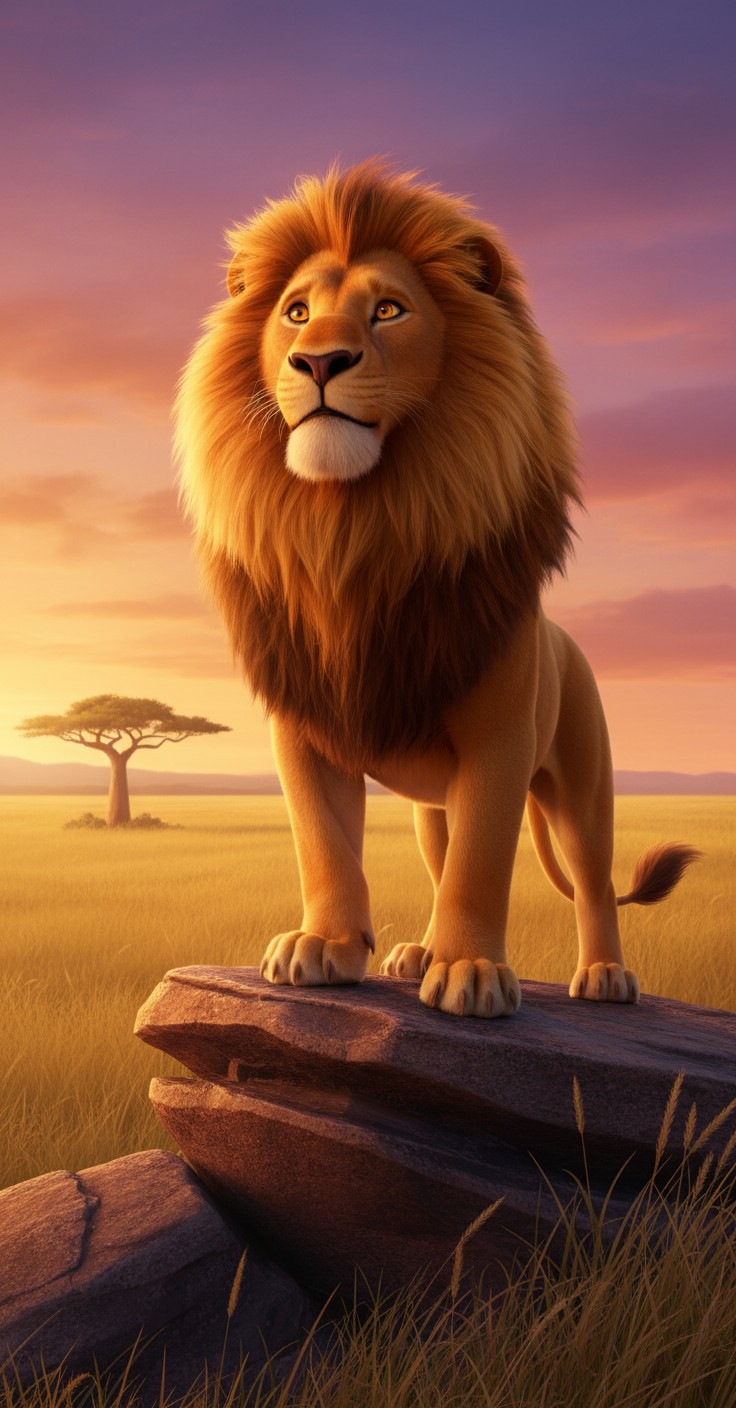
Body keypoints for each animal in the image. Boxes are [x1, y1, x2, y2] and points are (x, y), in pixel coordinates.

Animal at [175, 159, 698, 1018]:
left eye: (388, 310)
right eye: (295, 313)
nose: (317, 362)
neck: (356, 534)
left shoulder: (498, 738)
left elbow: (483, 862)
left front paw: (470, 972)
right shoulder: (304, 723)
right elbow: (324, 842)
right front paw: (324, 945)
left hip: (583, 783)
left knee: (590, 880)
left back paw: (604, 977)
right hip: (430, 806)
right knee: (438, 853)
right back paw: (414, 951)